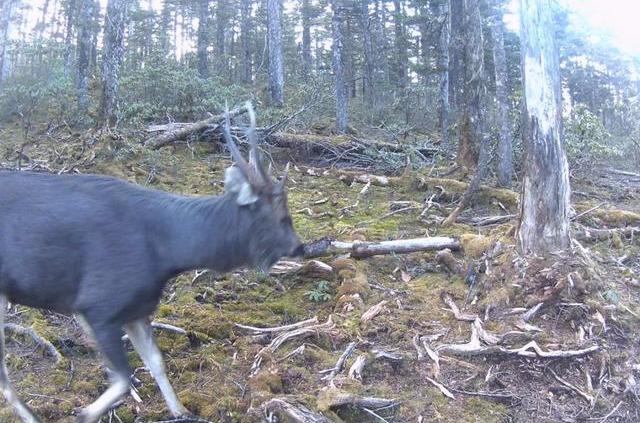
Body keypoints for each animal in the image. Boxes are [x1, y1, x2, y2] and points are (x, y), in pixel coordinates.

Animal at [0, 103, 304, 423]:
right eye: (282, 216)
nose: (300, 246)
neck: (166, 252)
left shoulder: (137, 309)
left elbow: (156, 362)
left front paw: (182, 411)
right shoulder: (98, 305)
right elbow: (123, 377)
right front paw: (85, 412)